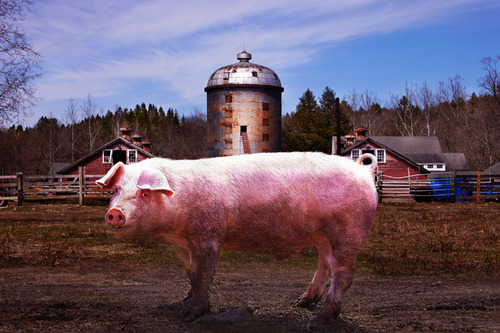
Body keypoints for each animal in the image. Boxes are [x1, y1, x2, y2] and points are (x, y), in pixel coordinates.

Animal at [96, 152, 378, 322]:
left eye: (144, 193)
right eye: (117, 190)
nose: (114, 213)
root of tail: (364, 170)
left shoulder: (209, 234)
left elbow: (201, 273)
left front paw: (189, 316)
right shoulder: (182, 244)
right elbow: (189, 271)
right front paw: (183, 299)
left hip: (349, 231)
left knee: (343, 273)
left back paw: (320, 319)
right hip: (324, 236)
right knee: (325, 264)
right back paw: (302, 303)